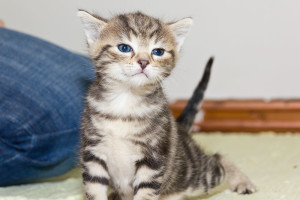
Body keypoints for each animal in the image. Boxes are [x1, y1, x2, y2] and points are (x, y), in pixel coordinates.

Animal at [77, 9, 255, 200]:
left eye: (158, 51)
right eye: (124, 48)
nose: (143, 62)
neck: (126, 100)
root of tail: (182, 130)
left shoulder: (153, 158)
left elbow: (145, 193)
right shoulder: (93, 153)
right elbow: (94, 189)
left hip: (195, 177)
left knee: (218, 159)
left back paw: (242, 181)